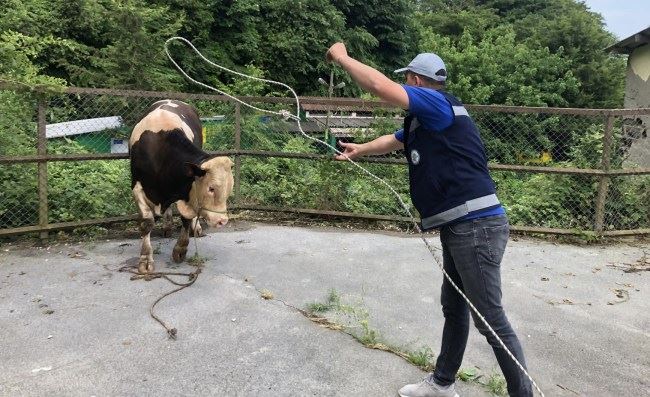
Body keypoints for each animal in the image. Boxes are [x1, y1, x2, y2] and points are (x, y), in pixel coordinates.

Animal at [128, 99, 232, 272]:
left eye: (228, 190)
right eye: (211, 188)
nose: (222, 221)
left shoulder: (186, 191)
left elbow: (186, 218)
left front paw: (181, 249)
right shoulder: (137, 187)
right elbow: (146, 223)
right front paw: (145, 259)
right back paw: (167, 225)